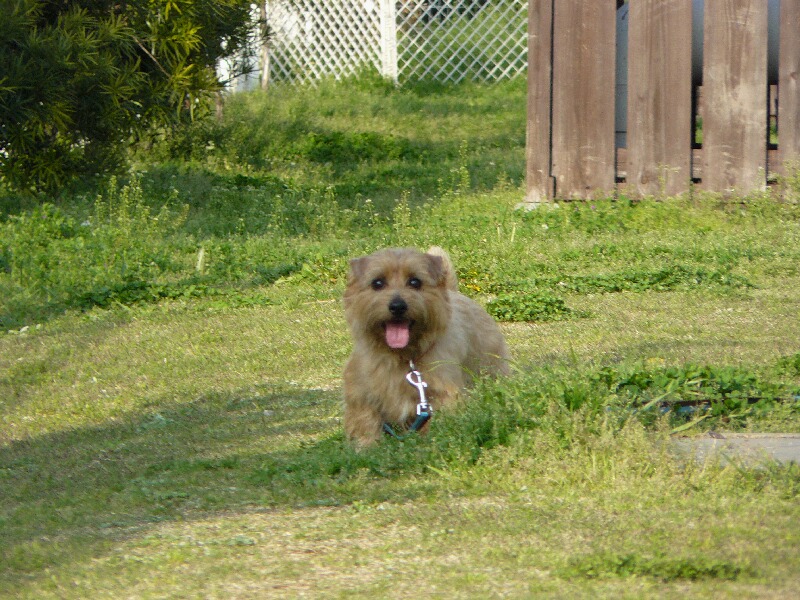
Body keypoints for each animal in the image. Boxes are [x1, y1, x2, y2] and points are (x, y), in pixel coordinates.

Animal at [343, 246, 509, 447]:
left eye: (415, 281)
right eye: (377, 283)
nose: (397, 306)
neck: (404, 356)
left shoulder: (442, 392)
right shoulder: (360, 392)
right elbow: (365, 420)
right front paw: (366, 446)